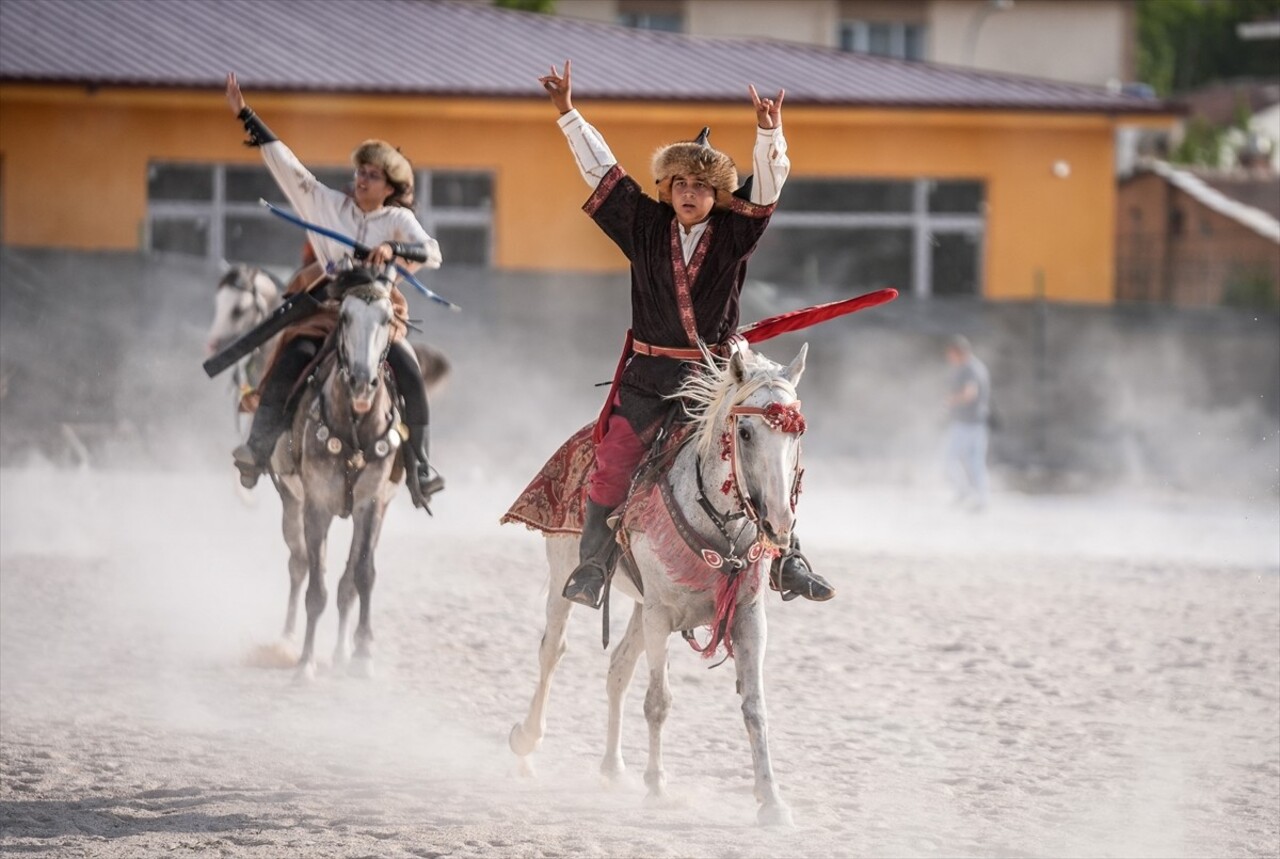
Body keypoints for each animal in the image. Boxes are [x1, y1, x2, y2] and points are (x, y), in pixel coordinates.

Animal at [509, 340, 808, 824]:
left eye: (795, 435)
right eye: (744, 432)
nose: (778, 524)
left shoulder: (747, 615)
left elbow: (754, 707)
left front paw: (772, 801)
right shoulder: (660, 614)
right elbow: (658, 702)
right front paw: (656, 787)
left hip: (638, 604)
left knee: (618, 670)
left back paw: (613, 769)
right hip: (564, 576)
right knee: (552, 651)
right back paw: (526, 744)